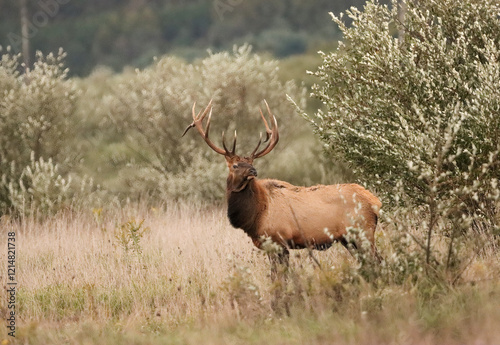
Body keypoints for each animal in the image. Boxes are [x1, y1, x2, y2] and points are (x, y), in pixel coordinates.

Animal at [182, 99, 380, 276]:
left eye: (251, 162)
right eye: (235, 165)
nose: (254, 170)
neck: (256, 215)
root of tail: (376, 202)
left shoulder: (279, 241)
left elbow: (281, 277)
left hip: (363, 232)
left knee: (377, 261)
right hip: (349, 239)